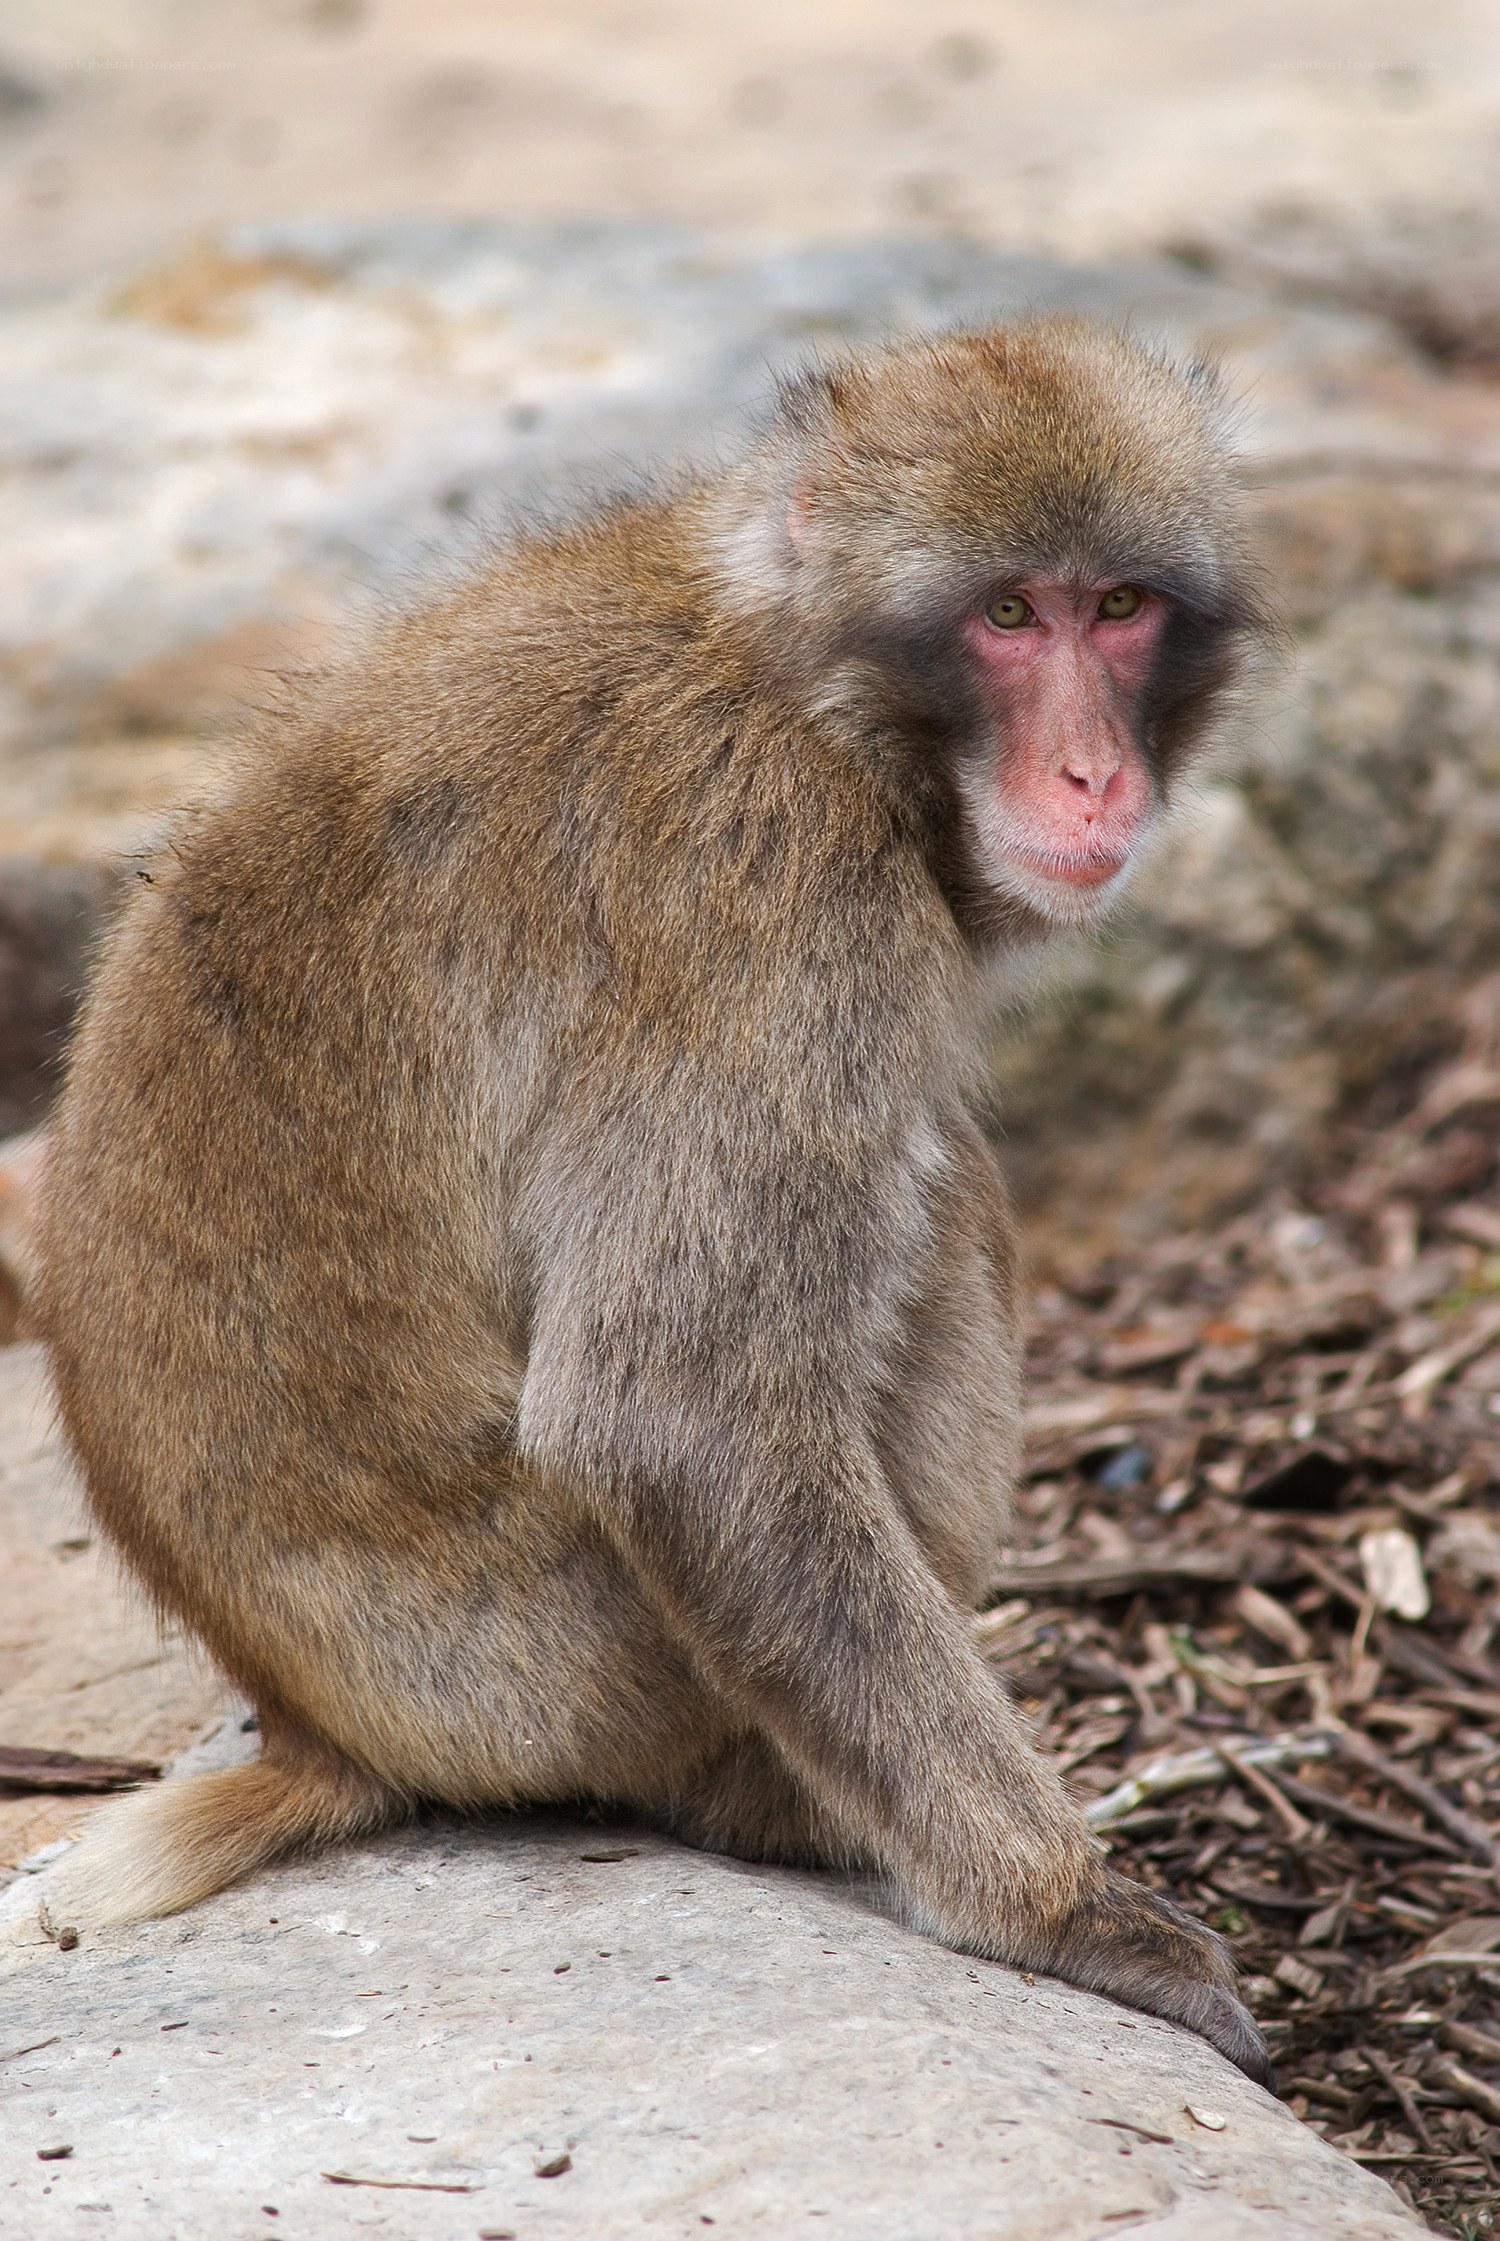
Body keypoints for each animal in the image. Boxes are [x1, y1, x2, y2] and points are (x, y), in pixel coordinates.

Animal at [32, 319, 1273, 2084]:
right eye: (1006, 616)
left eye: (1119, 607)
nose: (1095, 773)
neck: (801, 679)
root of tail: (317, 1724)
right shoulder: (779, 893)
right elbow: (674, 1420)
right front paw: (1064, 1910)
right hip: (558, 1668)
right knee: (935, 1197)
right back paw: (773, 1810)